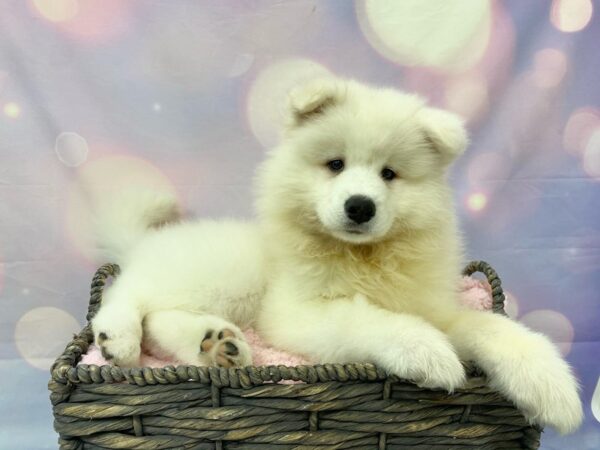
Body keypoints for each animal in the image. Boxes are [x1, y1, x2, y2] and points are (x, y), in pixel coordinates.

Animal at [89, 78, 580, 436]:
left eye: (389, 174)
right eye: (336, 165)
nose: (360, 206)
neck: (362, 258)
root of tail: (144, 242)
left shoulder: (435, 307)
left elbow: (493, 327)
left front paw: (551, 386)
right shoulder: (296, 311)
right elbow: (366, 319)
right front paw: (427, 352)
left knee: (161, 322)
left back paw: (216, 345)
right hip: (218, 272)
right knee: (128, 296)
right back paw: (119, 337)